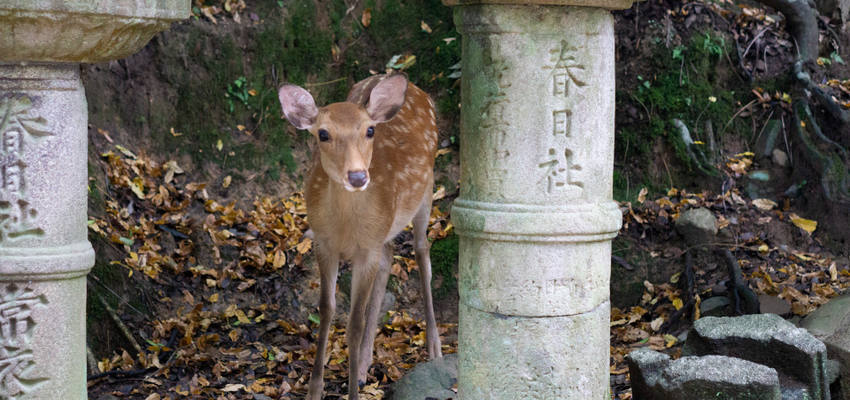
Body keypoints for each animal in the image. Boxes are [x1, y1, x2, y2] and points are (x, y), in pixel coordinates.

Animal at [278, 72, 444, 400]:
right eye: (323, 134)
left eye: (369, 130)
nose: (357, 176)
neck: (345, 228)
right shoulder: (324, 243)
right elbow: (327, 310)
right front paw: (315, 390)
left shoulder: (366, 249)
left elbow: (354, 322)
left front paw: (352, 391)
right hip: (384, 232)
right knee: (389, 257)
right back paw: (366, 364)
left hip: (427, 188)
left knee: (422, 251)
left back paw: (435, 348)